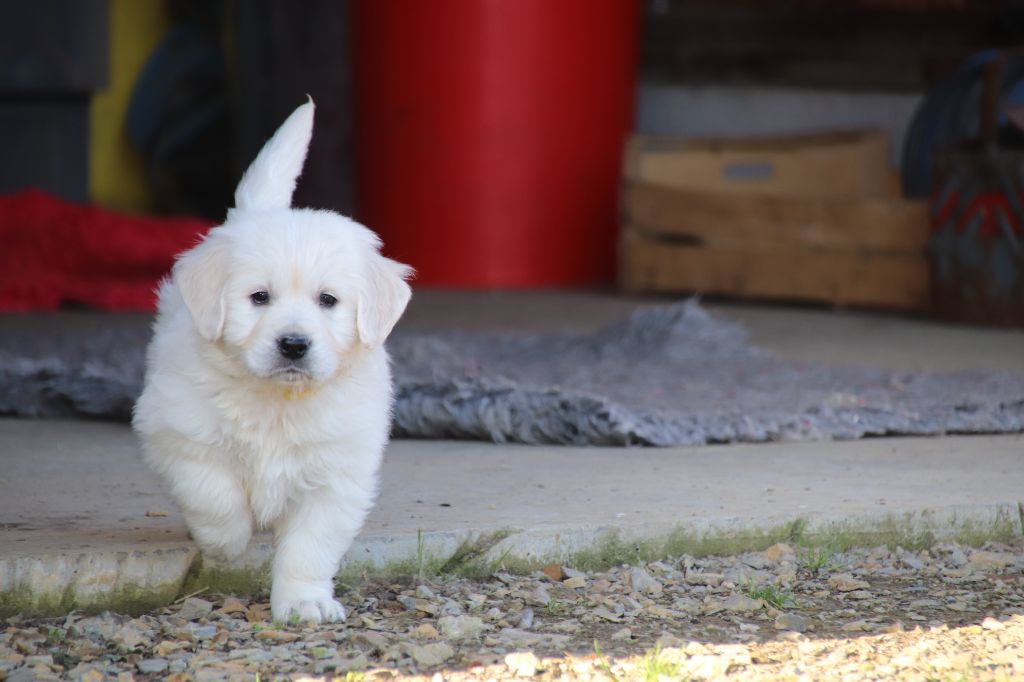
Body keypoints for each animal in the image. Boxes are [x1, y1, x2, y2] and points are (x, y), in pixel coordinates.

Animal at [132, 99, 411, 622]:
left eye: (328, 300)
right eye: (259, 297)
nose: (294, 344)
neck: (279, 399)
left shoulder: (335, 476)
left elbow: (309, 547)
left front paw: (304, 602)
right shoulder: (182, 431)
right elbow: (214, 495)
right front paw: (225, 544)